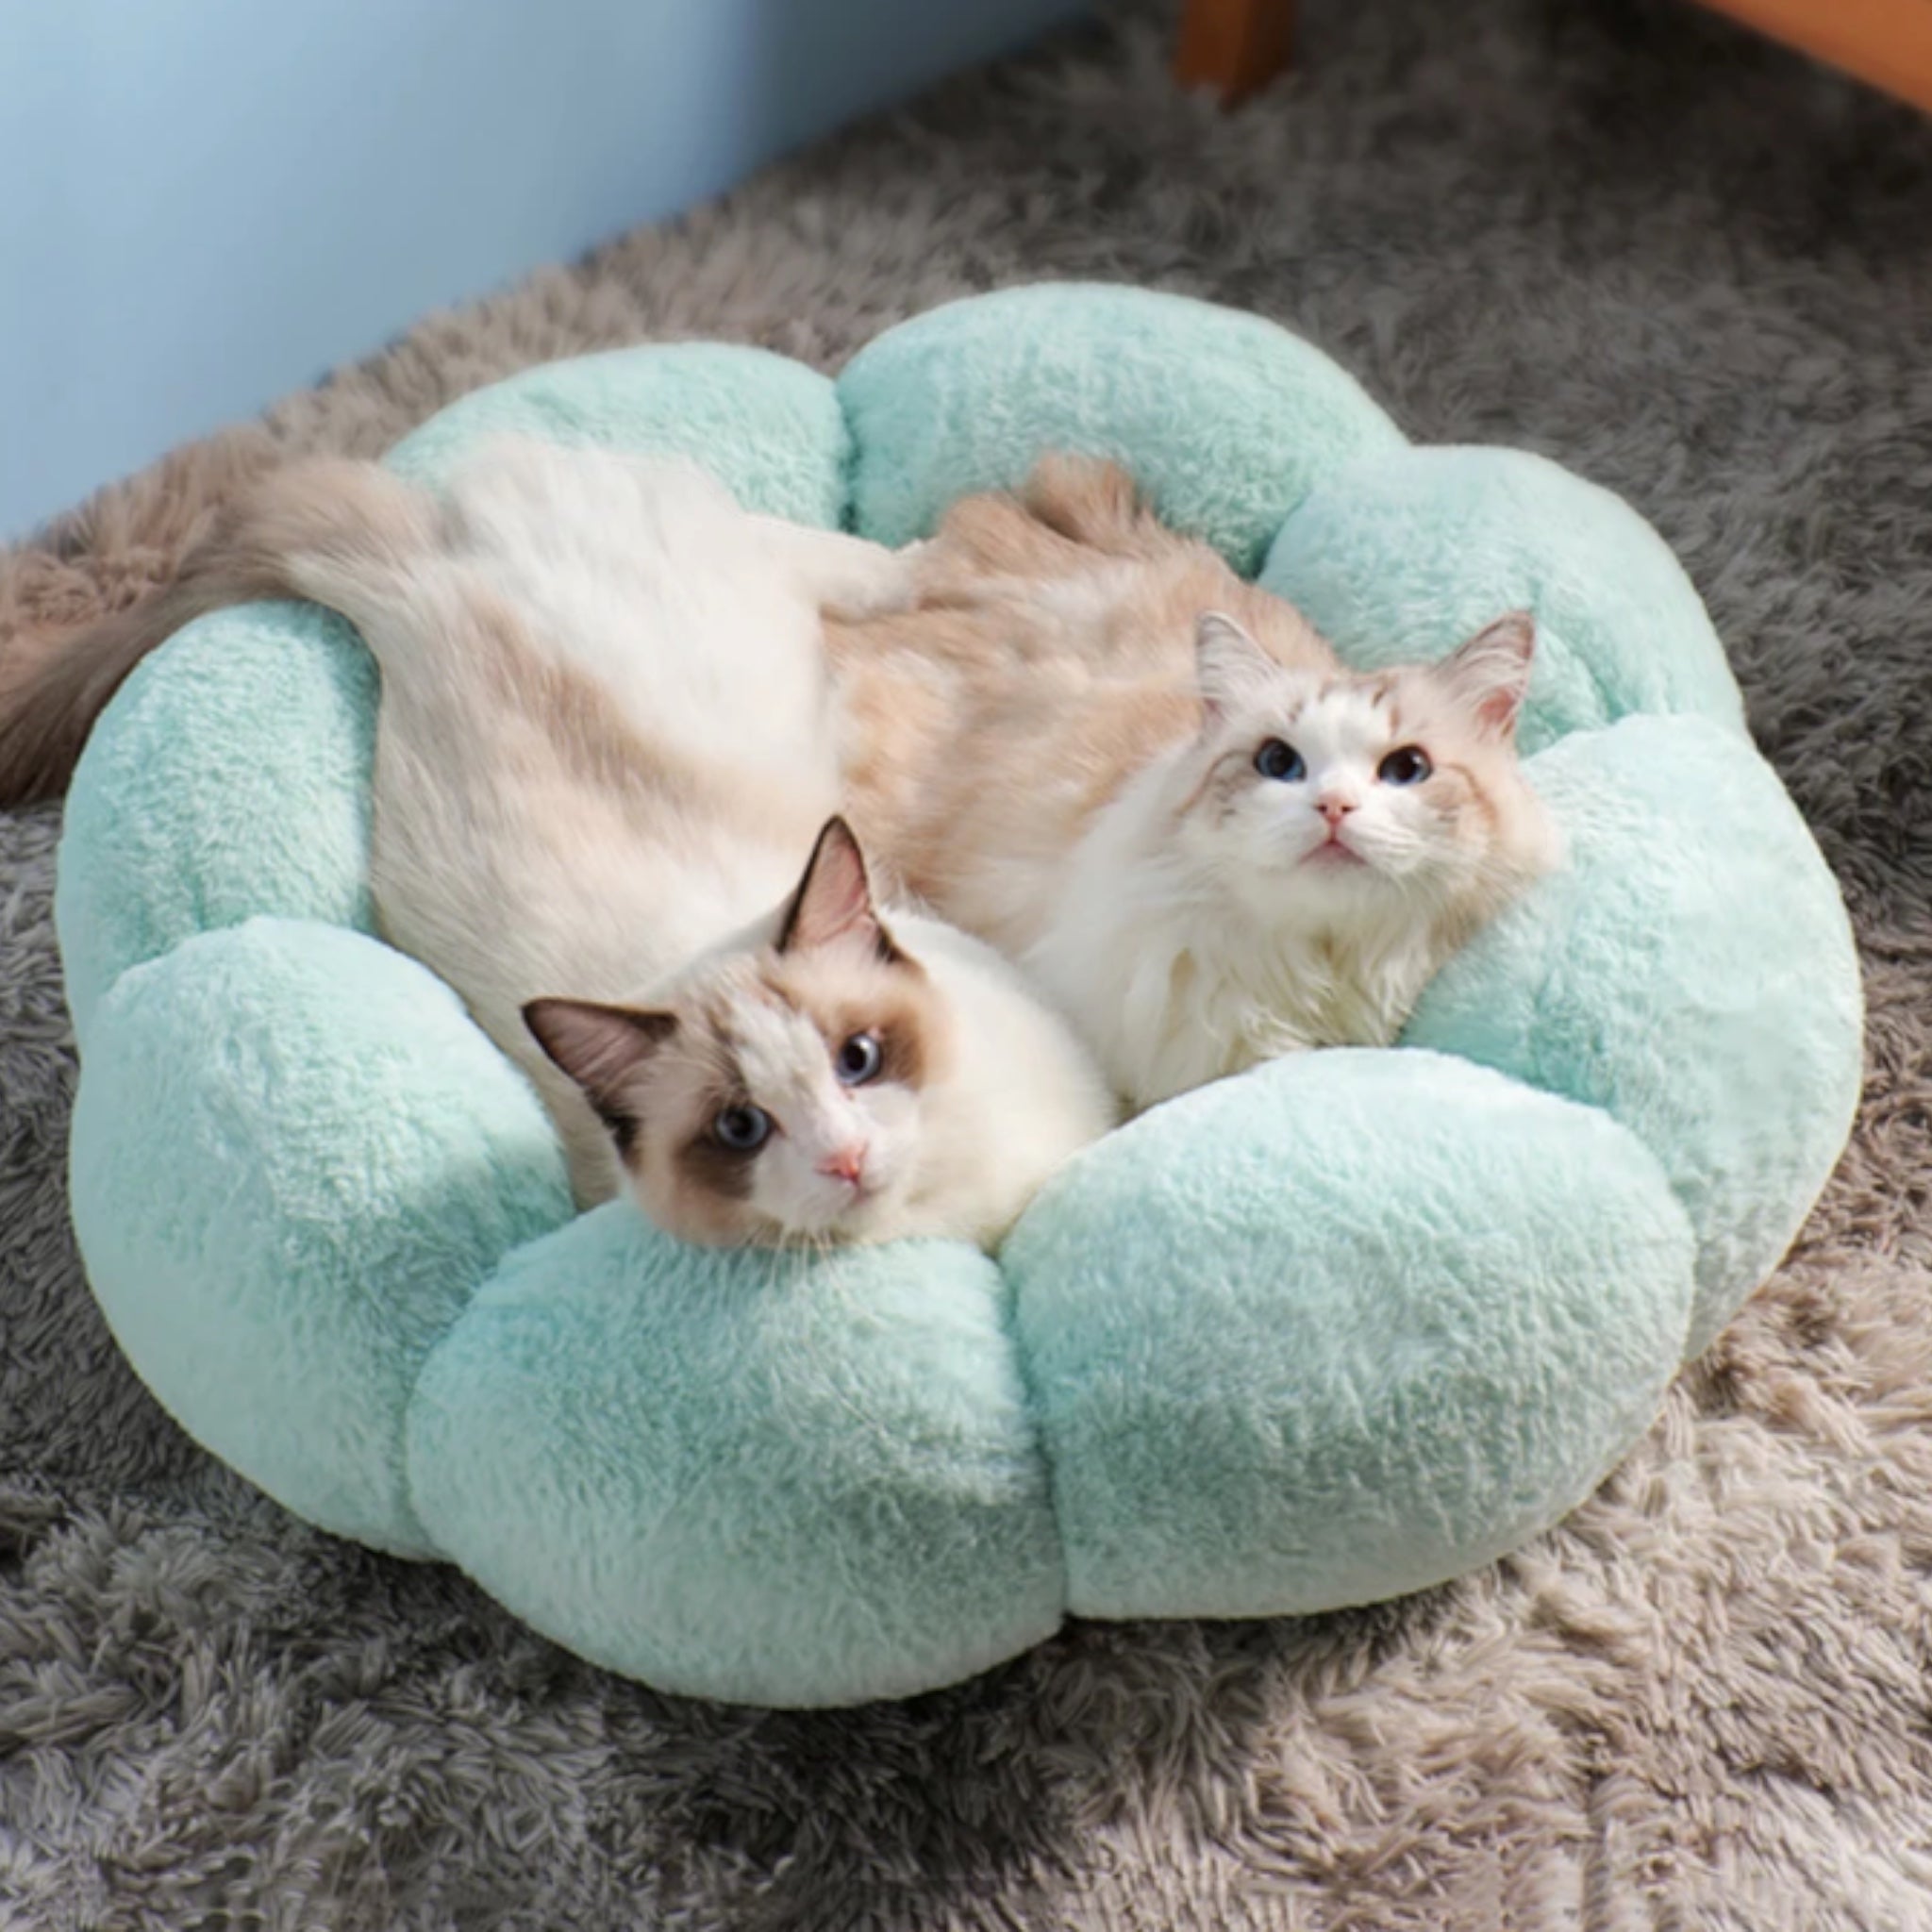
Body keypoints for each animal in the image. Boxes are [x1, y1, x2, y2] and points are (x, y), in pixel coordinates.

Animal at [18, 438, 1120, 1252]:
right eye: (741, 1129)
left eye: (858, 1058)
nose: (846, 1158)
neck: (943, 1227)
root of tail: (411, 575)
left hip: (728, 580)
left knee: (832, 558)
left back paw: (941, 552)